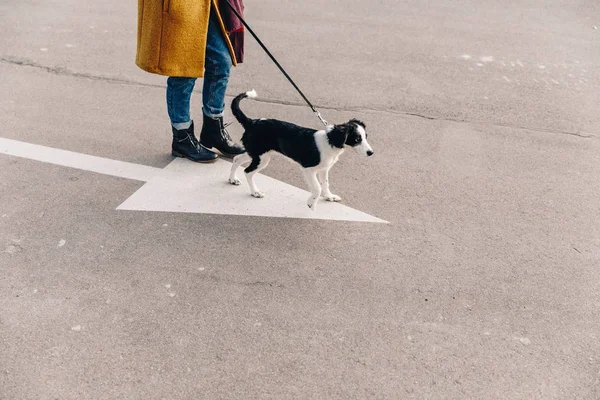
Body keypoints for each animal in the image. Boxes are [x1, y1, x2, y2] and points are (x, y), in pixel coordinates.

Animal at [229, 89, 372, 211]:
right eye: (357, 139)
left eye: (365, 137)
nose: (371, 153)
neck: (330, 141)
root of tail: (252, 122)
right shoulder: (308, 169)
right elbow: (317, 188)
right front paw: (311, 204)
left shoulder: (324, 169)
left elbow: (325, 184)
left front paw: (329, 197)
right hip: (261, 158)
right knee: (248, 172)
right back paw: (255, 192)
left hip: (256, 153)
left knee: (237, 159)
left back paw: (232, 179)